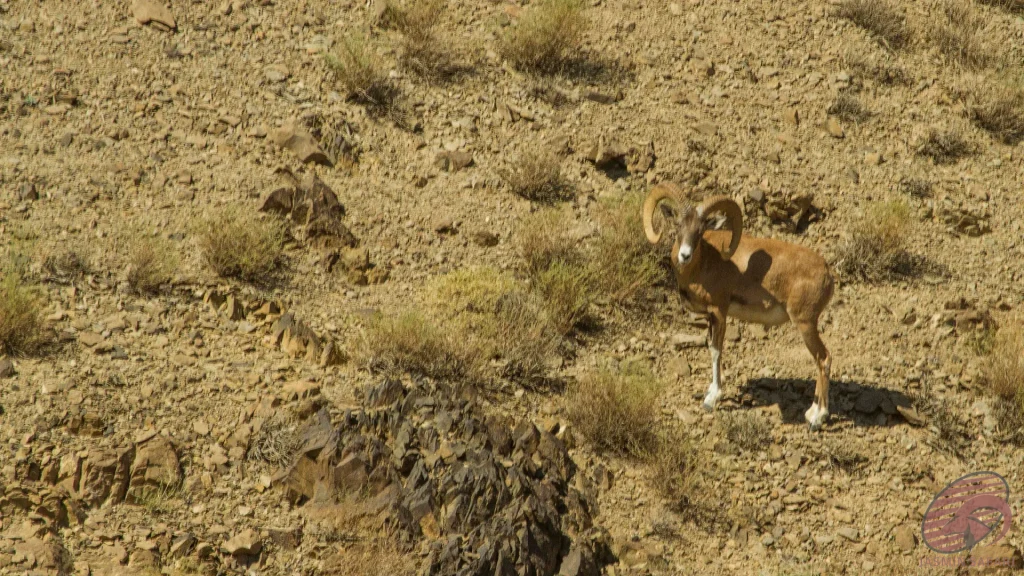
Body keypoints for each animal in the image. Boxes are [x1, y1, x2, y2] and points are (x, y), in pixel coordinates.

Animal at [642, 181, 836, 430]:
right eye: (677, 225)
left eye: (700, 231)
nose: (685, 255)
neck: (703, 264)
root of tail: (827, 274)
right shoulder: (710, 318)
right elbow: (710, 347)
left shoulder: (719, 313)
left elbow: (716, 350)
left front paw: (711, 399)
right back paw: (811, 412)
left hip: (805, 324)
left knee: (823, 359)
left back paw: (817, 418)